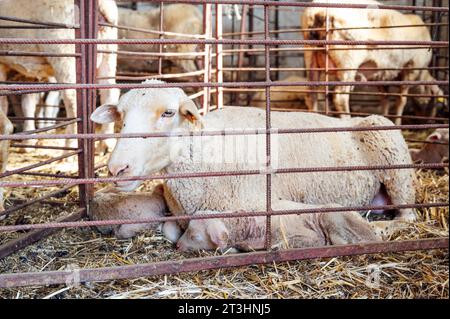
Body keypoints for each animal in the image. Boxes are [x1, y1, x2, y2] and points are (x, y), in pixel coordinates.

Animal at [0, 0, 121, 152]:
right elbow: (28, 103)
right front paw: (29, 140)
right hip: (108, 51)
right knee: (110, 92)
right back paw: (106, 143)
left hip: (65, 53)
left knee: (72, 99)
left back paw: (71, 144)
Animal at [90, 80, 418, 242]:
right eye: (120, 115)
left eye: (168, 113)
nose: (117, 168)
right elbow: (169, 230)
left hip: (397, 168)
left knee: (408, 218)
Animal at [300, 0, 444, 125]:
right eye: (435, 102)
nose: (430, 120)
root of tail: (317, 12)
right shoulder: (411, 68)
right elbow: (401, 100)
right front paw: (397, 123)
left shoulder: (381, 75)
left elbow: (385, 99)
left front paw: (385, 118)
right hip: (348, 60)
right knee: (340, 97)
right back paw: (347, 120)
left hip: (311, 57)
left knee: (311, 93)